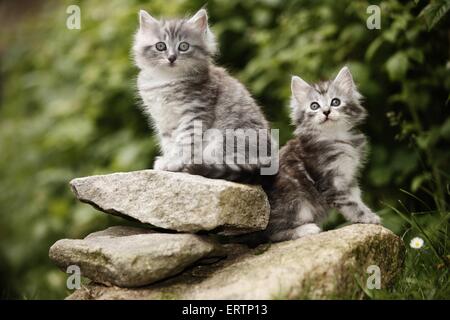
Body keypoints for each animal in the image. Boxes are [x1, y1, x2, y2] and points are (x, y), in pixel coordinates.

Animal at [134, 8, 274, 182]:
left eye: (184, 46)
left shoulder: (195, 112)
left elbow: (185, 141)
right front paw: (169, 159)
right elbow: (169, 142)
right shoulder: (163, 119)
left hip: (226, 139)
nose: (172, 57)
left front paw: (176, 162)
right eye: (160, 46)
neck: (166, 80)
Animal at [236, 66, 380, 244]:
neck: (336, 137)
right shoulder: (331, 183)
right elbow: (351, 204)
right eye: (314, 106)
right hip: (297, 202)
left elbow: (356, 198)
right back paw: (306, 229)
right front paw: (368, 217)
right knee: (271, 234)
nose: (326, 112)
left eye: (335, 102)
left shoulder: (349, 178)